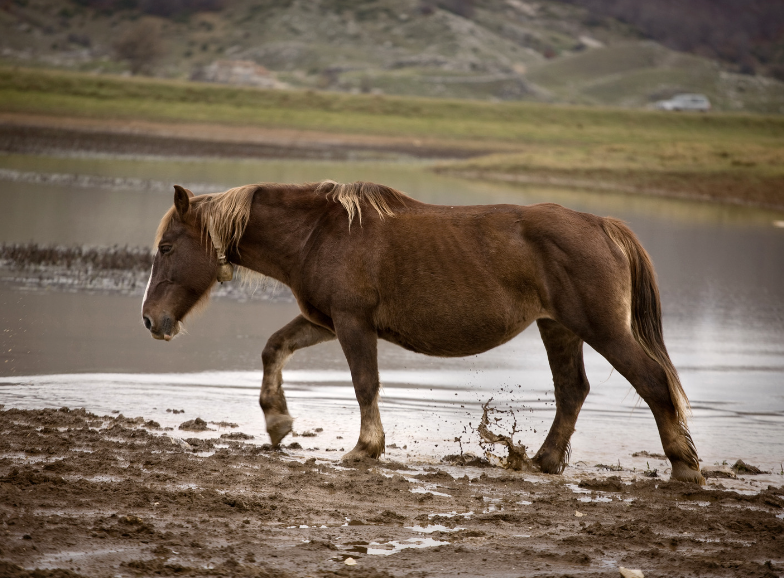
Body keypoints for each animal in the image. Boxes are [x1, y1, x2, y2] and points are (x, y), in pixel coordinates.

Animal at [141, 179, 704, 482]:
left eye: (167, 248)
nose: (150, 320)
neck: (318, 235)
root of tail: (603, 225)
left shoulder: (353, 323)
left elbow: (365, 384)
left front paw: (365, 448)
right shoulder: (327, 322)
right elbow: (273, 348)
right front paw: (278, 421)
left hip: (603, 330)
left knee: (651, 383)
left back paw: (684, 467)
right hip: (558, 328)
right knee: (572, 390)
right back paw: (545, 461)